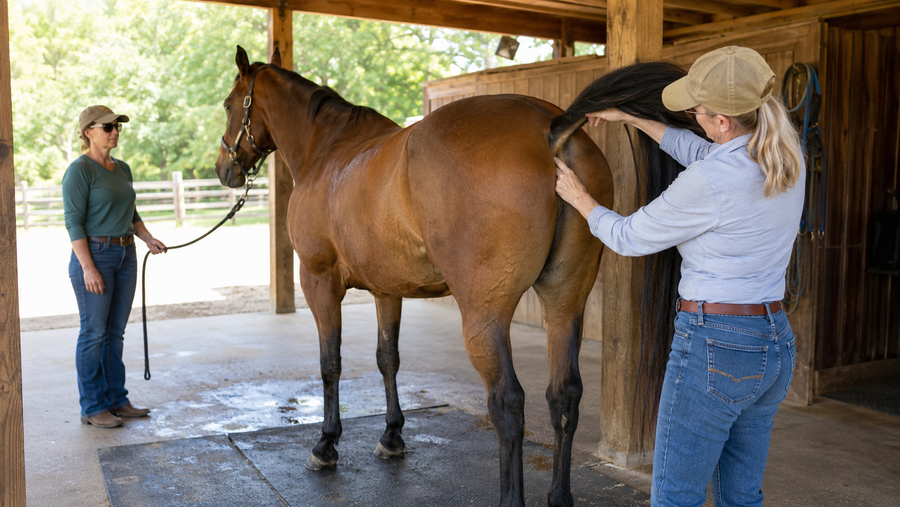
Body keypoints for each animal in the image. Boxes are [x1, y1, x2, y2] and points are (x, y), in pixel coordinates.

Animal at [215, 46, 695, 507]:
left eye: (228, 104)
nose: (225, 168)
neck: (327, 152)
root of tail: (551, 128)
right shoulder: (387, 290)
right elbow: (388, 358)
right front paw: (392, 436)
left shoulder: (318, 281)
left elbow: (330, 363)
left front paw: (325, 445)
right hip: (565, 301)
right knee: (564, 394)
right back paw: (559, 497)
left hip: (484, 316)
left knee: (508, 402)